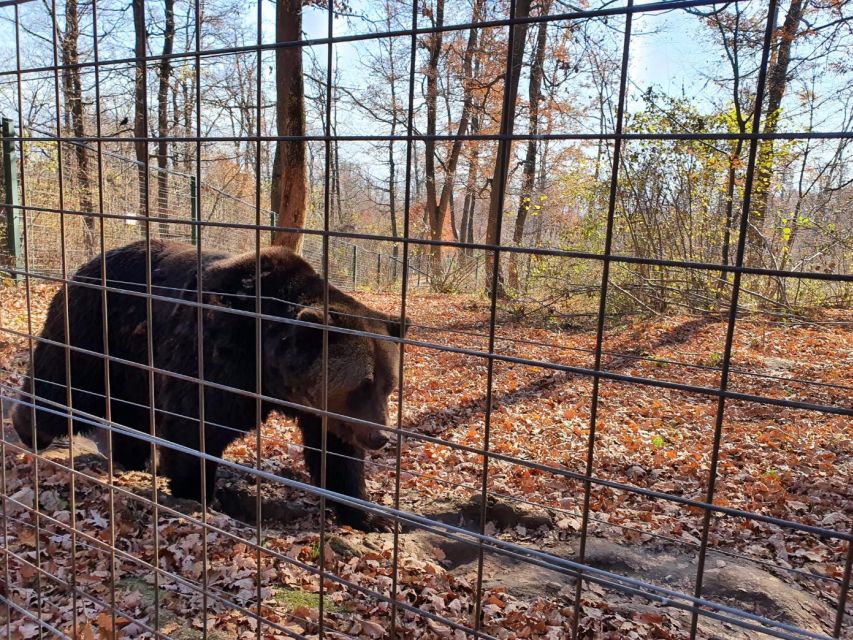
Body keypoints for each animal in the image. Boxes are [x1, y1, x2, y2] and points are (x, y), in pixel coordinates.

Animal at [13, 240, 406, 528]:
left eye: (387, 385)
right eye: (360, 385)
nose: (380, 437)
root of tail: (87, 264)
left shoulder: (315, 409)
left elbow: (336, 454)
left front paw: (369, 515)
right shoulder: (217, 356)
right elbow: (195, 428)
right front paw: (198, 495)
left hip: (134, 364)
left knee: (131, 413)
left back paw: (134, 459)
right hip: (95, 329)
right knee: (65, 383)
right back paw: (31, 431)